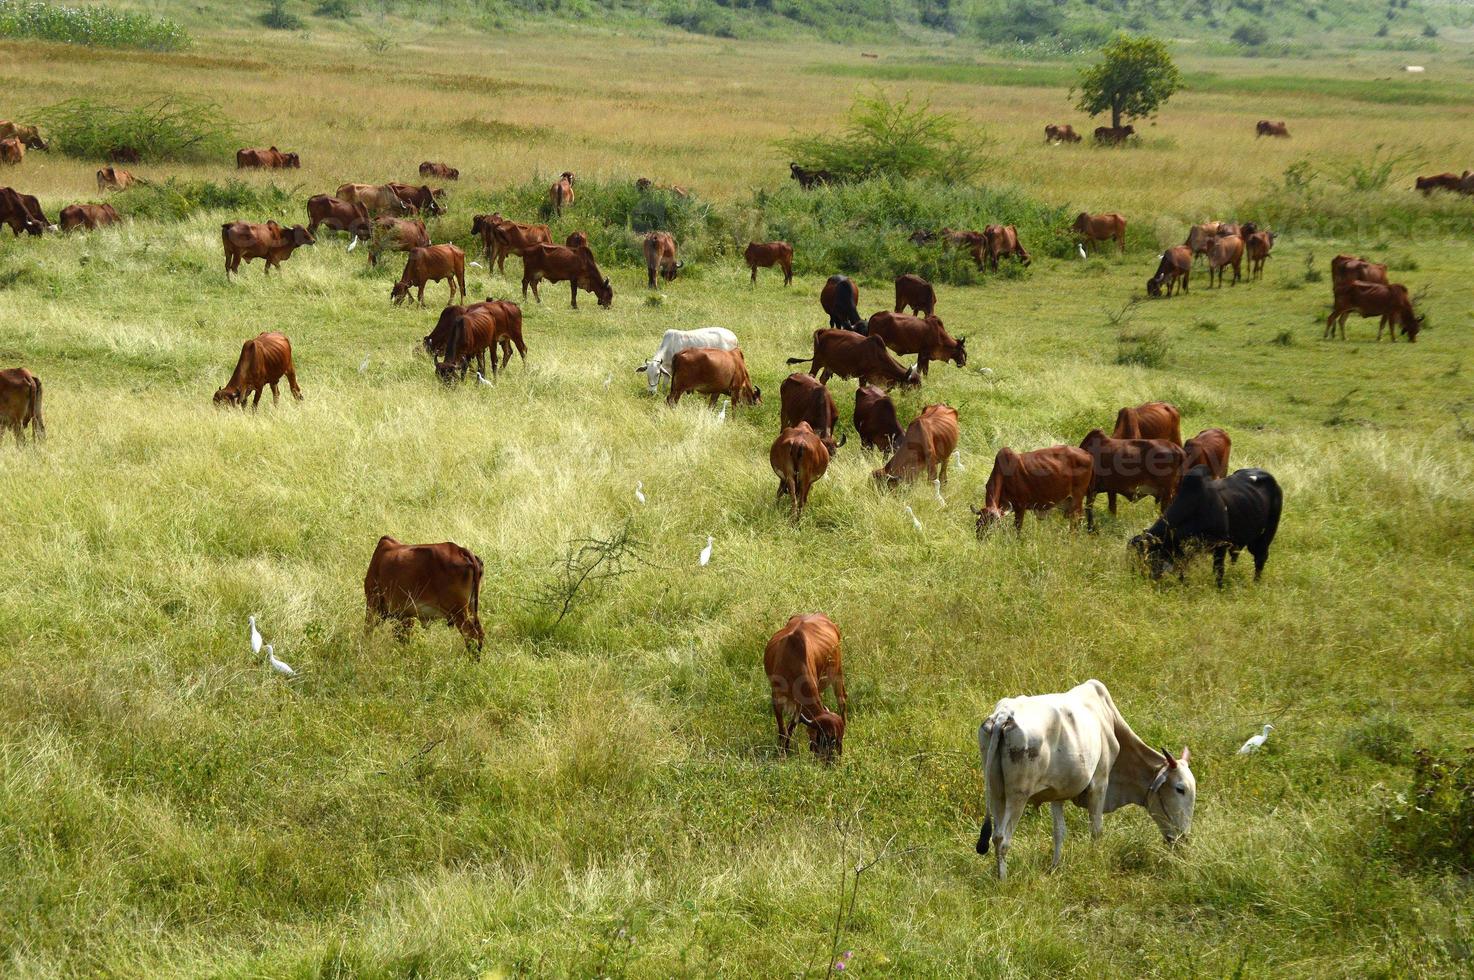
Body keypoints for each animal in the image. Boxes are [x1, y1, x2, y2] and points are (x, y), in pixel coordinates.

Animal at [766, 613, 849, 766]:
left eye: (840, 740)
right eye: (827, 740)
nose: (834, 763)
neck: (793, 659)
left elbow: (792, 725)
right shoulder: (777, 697)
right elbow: (784, 729)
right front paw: (783, 753)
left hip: (838, 671)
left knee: (842, 699)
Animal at [784, 330, 919, 389]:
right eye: (911, 386)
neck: (878, 355)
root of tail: (824, 330)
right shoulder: (863, 376)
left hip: (829, 366)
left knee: (823, 379)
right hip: (817, 362)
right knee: (812, 375)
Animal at [966, 445, 1096, 530]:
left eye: (993, 526)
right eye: (979, 524)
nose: (981, 539)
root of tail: (1088, 454)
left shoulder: (1020, 507)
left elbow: (1017, 529)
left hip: (1077, 497)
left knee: (1077, 518)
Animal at [978, 680, 1196, 878]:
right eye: (1180, 789)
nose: (1184, 838)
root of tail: (1004, 715)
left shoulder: (1057, 794)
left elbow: (1059, 832)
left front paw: (1055, 867)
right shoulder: (1100, 783)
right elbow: (1096, 830)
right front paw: (1095, 863)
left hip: (996, 792)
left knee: (996, 836)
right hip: (1018, 795)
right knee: (1002, 838)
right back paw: (1003, 881)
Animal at [1126, 465, 1279, 583]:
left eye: (1147, 558)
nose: (1140, 578)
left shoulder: (1221, 545)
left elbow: (1218, 571)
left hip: (1264, 537)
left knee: (1260, 558)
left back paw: (1256, 583)